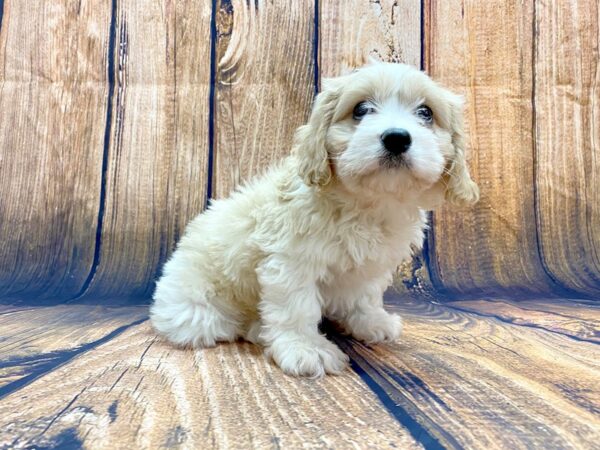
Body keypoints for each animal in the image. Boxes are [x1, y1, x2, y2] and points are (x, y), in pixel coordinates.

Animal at [150, 62, 478, 376]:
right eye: (361, 109)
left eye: (426, 113)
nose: (396, 138)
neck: (367, 204)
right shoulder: (290, 262)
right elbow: (296, 307)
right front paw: (305, 348)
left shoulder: (371, 266)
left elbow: (365, 295)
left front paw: (371, 322)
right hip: (195, 309)